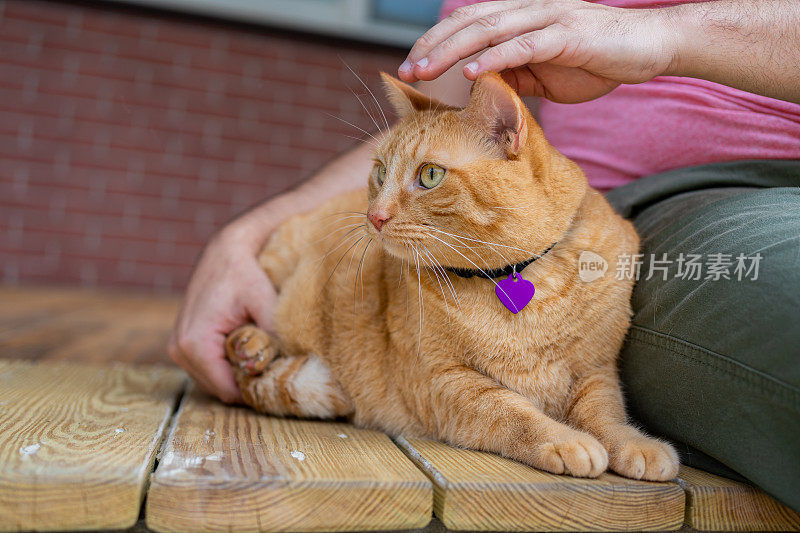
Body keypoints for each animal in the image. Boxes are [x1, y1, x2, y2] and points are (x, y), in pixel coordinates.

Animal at [222, 72, 680, 480]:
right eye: (380, 172)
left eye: (430, 175)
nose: (374, 216)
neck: (514, 278)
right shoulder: (442, 382)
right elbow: (511, 411)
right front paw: (565, 440)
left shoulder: (596, 369)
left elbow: (605, 412)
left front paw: (635, 444)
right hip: (282, 259)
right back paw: (250, 345)